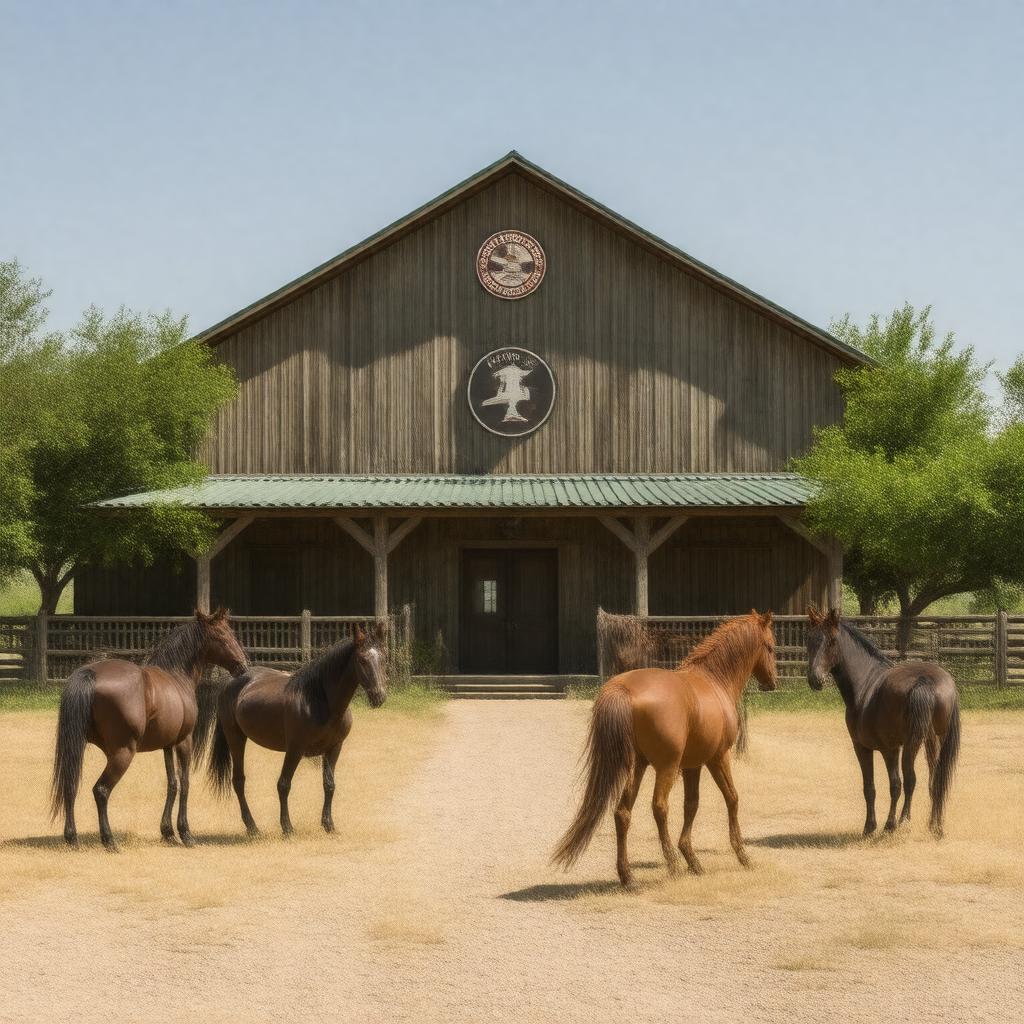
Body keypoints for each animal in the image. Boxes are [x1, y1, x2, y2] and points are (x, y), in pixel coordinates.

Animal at [51, 608, 248, 851]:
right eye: (222, 635)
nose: (243, 666)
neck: (177, 676)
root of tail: (90, 673)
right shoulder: (184, 741)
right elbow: (185, 783)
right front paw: (185, 833)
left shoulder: (167, 745)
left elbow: (172, 784)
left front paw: (168, 832)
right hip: (123, 753)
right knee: (101, 790)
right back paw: (109, 840)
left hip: (76, 747)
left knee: (70, 785)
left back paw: (72, 838)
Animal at [206, 624, 387, 836]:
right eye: (362, 660)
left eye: (383, 657)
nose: (379, 696)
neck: (320, 701)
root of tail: (231, 680)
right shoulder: (295, 749)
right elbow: (284, 784)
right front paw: (287, 827)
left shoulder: (334, 748)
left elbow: (329, 784)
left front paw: (329, 825)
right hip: (236, 738)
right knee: (238, 780)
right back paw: (252, 827)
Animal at [553, 610, 777, 888]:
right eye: (770, 646)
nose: (772, 682)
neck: (714, 680)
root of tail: (623, 690)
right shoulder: (717, 758)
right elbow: (732, 799)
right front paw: (742, 856)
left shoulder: (692, 764)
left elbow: (691, 804)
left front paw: (693, 860)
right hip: (666, 768)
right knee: (659, 807)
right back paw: (672, 865)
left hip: (637, 766)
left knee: (622, 812)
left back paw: (628, 877)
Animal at [806, 607, 961, 837]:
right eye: (809, 640)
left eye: (832, 641)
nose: (815, 679)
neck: (865, 685)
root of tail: (926, 682)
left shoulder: (869, 748)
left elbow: (874, 787)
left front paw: (874, 826)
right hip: (935, 738)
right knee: (936, 778)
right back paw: (935, 825)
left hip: (910, 744)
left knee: (909, 779)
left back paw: (901, 821)